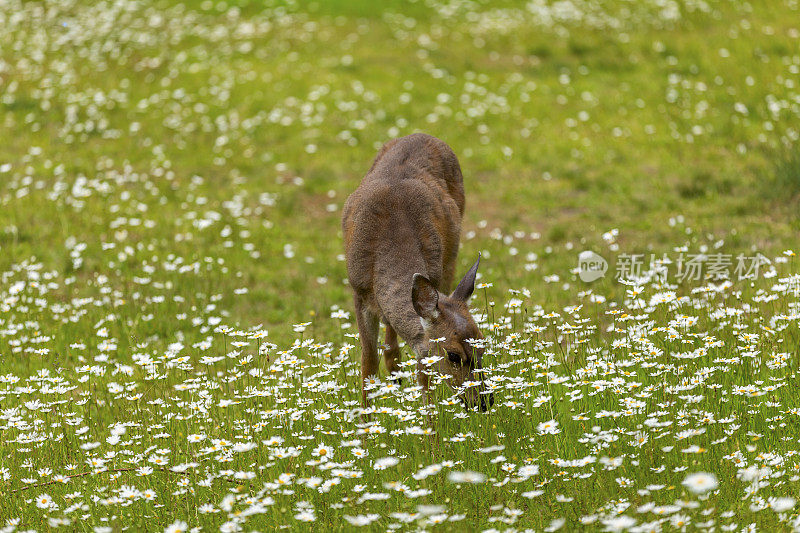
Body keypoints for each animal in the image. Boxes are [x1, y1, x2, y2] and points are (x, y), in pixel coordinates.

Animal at [340, 133, 494, 412]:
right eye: (453, 355)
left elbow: (424, 372)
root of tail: (423, 134)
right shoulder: (358, 290)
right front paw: (365, 420)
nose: (484, 401)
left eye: (482, 345)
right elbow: (368, 361)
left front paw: (428, 417)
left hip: (449, 258)